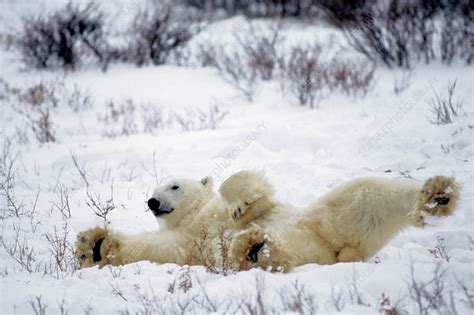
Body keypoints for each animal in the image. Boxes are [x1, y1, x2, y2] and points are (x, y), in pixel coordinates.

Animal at [222, 172, 460, 272]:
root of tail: (342, 248)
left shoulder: (267, 211)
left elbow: (255, 203)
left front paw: (238, 207)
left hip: (334, 215)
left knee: (373, 193)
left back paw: (438, 195)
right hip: (326, 233)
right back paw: (255, 249)